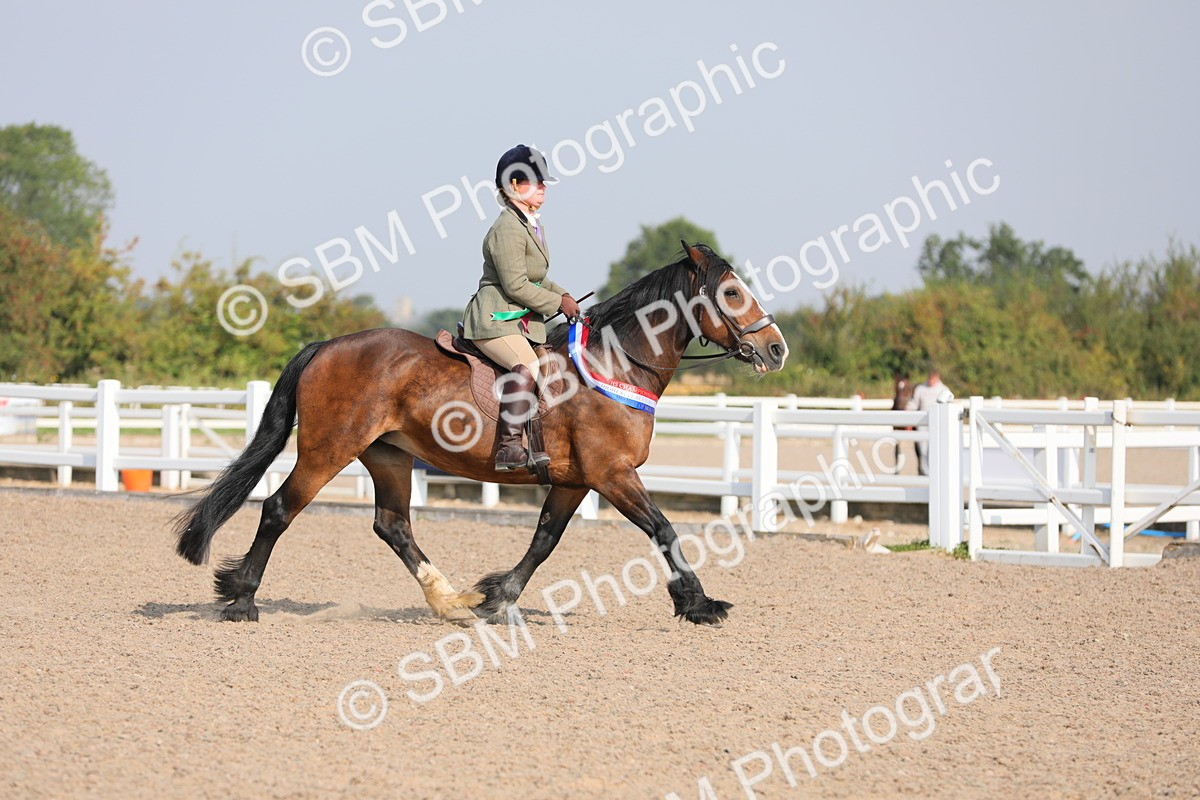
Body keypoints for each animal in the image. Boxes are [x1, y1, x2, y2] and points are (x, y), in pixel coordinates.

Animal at [173, 243, 788, 627]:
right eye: (732, 294)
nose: (777, 348)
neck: (614, 363)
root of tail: (328, 345)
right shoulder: (613, 474)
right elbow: (663, 530)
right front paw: (700, 604)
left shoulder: (577, 480)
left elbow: (544, 540)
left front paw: (497, 598)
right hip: (328, 450)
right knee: (279, 508)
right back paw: (241, 600)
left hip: (389, 457)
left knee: (392, 525)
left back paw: (453, 602)